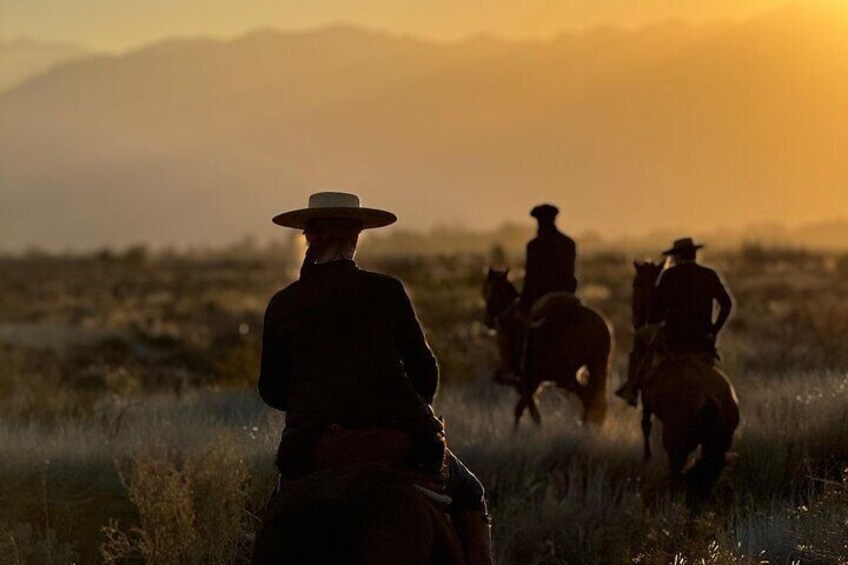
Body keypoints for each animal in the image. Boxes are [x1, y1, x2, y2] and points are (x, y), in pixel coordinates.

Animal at [480, 268, 612, 428]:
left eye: (493, 291)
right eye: (485, 291)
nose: (487, 321)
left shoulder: (531, 376)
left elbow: (522, 404)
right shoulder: (533, 377)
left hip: (566, 374)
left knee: (588, 397)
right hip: (587, 369)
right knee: (592, 399)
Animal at [628, 262, 744, 502]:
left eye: (636, 284)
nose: (636, 321)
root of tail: (709, 401)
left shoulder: (646, 397)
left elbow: (645, 424)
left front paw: (647, 456)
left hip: (676, 442)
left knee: (678, 473)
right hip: (718, 443)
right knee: (706, 476)